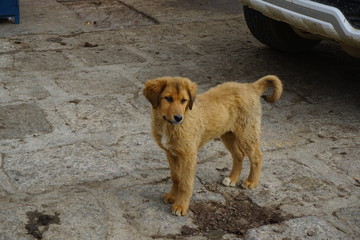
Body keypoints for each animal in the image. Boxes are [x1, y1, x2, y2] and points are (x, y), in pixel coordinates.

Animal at [143, 75, 282, 216]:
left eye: (184, 100)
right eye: (168, 98)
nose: (178, 118)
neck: (169, 125)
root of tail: (251, 87)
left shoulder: (188, 155)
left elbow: (185, 183)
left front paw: (181, 206)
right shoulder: (171, 153)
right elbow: (176, 177)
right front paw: (172, 196)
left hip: (247, 132)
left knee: (256, 156)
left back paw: (251, 182)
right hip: (227, 134)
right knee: (239, 155)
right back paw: (232, 178)